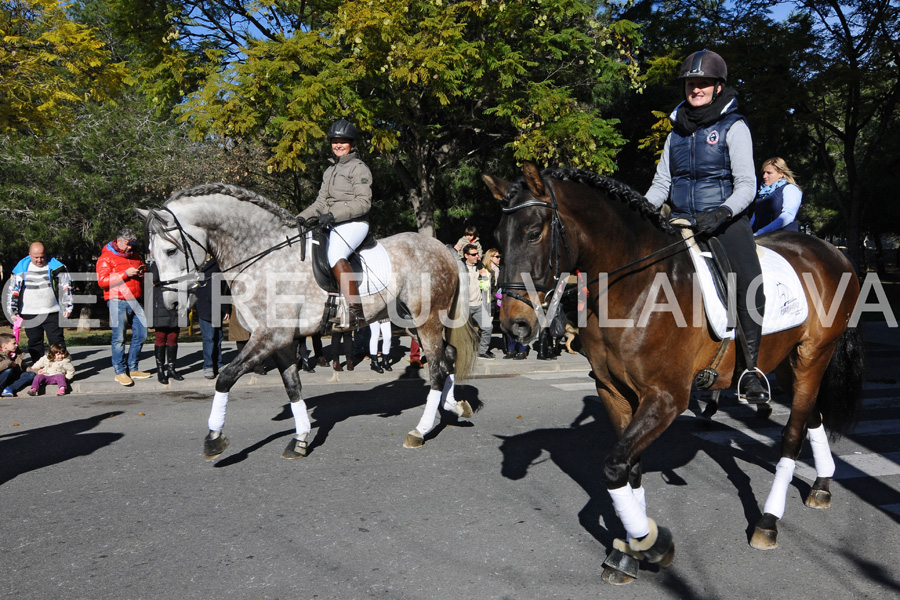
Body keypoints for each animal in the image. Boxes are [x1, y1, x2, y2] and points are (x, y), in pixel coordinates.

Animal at [136, 183, 478, 460]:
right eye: (150, 253)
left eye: (170, 250)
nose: (171, 303)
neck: (264, 256)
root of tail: (443, 248)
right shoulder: (281, 341)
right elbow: (293, 387)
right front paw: (300, 440)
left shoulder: (270, 337)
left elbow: (226, 377)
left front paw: (214, 438)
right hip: (412, 323)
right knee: (447, 357)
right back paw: (456, 406)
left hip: (427, 321)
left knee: (437, 367)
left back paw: (420, 430)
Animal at [486, 162, 864, 584]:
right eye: (498, 237)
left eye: (534, 233)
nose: (515, 325)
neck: (637, 287)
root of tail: (832, 251)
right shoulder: (613, 391)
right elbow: (629, 469)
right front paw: (630, 551)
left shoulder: (666, 398)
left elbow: (614, 467)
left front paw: (652, 545)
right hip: (786, 363)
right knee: (812, 413)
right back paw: (822, 484)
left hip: (814, 355)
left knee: (793, 433)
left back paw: (768, 522)